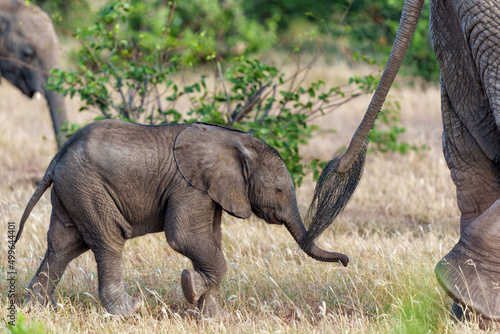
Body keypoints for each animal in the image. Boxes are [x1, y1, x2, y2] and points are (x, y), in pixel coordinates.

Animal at [17, 120, 350, 318]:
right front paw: (190, 286)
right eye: (279, 190)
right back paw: (128, 311)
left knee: (63, 246)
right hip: (88, 187)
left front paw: (213, 317)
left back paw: (36, 311)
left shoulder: (212, 192)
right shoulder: (191, 187)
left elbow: (212, 241)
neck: (233, 141)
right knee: (108, 240)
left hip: (73, 190)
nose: (346, 261)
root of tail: (57, 158)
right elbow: (185, 238)